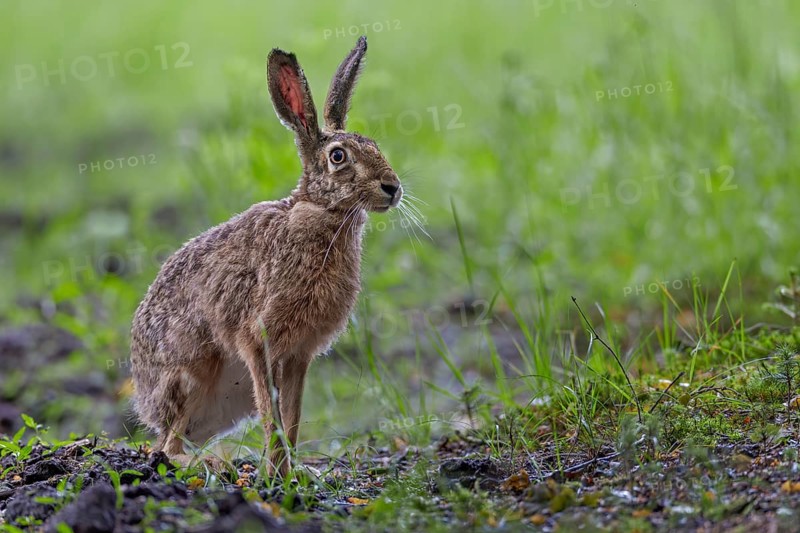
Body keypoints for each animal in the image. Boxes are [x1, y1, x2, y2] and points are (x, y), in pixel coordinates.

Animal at [130, 35, 402, 476]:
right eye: (338, 156)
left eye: (375, 146)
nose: (393, 188)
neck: (319, 213)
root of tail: (146, 402)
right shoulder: (256, 340)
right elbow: (271, 414)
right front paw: (274, 476)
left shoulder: (299, 355)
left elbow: (291, 418)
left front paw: (290, 474)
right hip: (192, 372)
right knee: (165, 446)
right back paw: (212, 464)